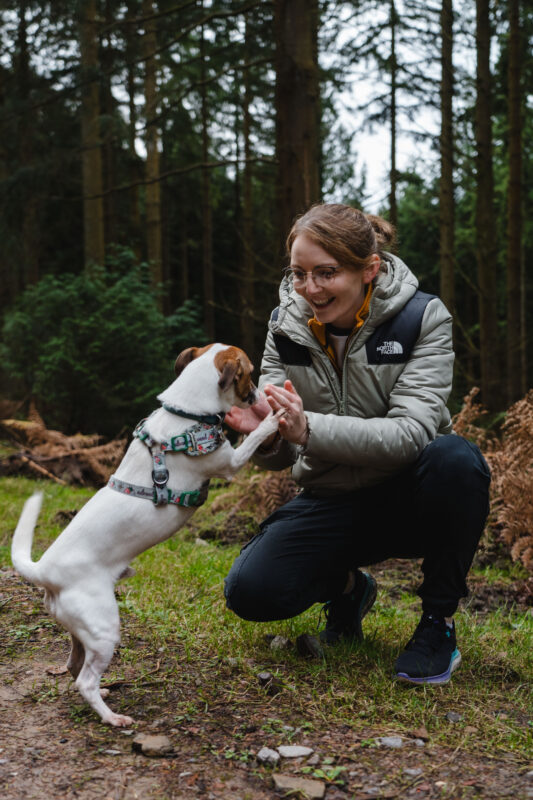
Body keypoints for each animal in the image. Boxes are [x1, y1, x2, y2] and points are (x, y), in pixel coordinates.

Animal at [11, 344, 278, 724]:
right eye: (249, 373)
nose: (257, 395)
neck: (185, 413)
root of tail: (45, 572)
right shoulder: (230, 464)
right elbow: (252, 438)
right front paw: (273, 418)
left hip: (81, 631)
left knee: (75, 666)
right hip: (104, 628)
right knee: (85, 681)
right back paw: (112, 717)